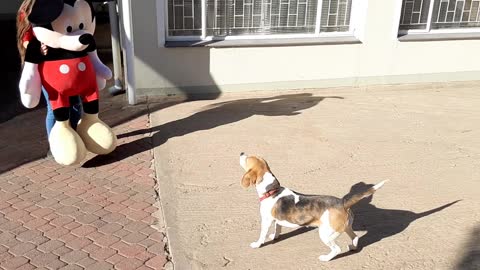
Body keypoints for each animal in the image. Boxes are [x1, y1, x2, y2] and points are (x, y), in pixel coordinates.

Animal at [239, 154, 386, 262]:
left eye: (247, 159)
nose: (241, 152)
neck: (271, 190)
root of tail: (342, 202)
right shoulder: (276, 219)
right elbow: (278, 228)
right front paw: (274, 237)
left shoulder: (266, 220)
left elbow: (262, 235)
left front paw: (257, 244)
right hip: (345, 228)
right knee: (355, 237)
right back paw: (352, 247)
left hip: (326, 234)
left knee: (337, 249)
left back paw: (326, 258)